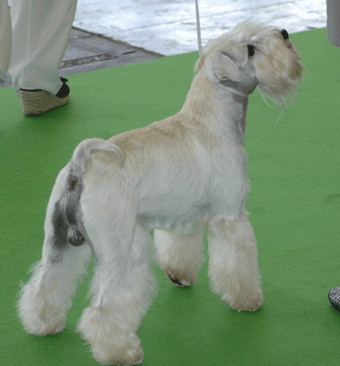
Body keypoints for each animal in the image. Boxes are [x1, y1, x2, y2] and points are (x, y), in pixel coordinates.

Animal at [17, 21, 302, 364]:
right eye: (250, 49)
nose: (285, 34)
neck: (210, 120)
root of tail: (79, 168)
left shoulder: (181, 216)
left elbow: (179, 248)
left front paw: (180, 276)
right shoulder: (230, 216)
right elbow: (237, 263)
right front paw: (247, 299)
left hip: (58, 242)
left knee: (45, 284)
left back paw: (43, 323)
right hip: (120, 252)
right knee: (103, 310)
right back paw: (122, 352)